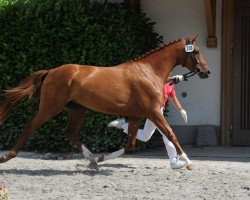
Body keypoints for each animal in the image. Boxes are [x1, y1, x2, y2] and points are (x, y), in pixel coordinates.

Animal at [0, 35, 210, 170]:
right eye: (196, 51)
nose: (206, 72)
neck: (148, 71)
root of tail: (51, 71)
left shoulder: (136, 116)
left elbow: (130, 143)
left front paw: (102, 157)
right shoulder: (153, 112)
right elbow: (171, 134)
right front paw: (187, 161)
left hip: (77, 110)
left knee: (70, 134)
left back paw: (92, 159)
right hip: (50, 108)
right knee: (30, 126)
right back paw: (7, 157)